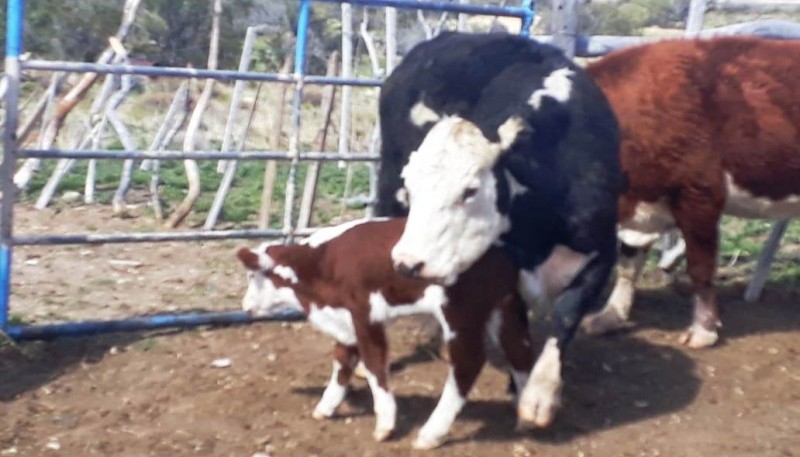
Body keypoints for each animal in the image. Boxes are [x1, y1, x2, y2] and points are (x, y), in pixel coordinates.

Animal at [238, 217, 536, 448]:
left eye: (253, 276)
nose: (244, 306)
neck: (321, 264)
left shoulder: (365, 314)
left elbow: (373, 365)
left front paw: (385, 423)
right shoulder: (345, 321)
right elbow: (342, 361)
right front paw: (326, 406)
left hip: (460, 314)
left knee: (468, 364)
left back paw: (431, 434)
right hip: (504, 307)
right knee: (519, 352)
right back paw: (526, 416)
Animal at [378, 33, 620, 428]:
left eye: (469, 190)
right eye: (411, 187)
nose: (407, 262)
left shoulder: (600, 256)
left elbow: (565, 318)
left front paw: (538, 394)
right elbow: (518, 333)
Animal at [580, 37, 800, 348]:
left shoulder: (699, 195)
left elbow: (700, 266)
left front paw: (703, 330)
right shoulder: (640, 207)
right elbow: (629, 264)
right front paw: (609, 317)